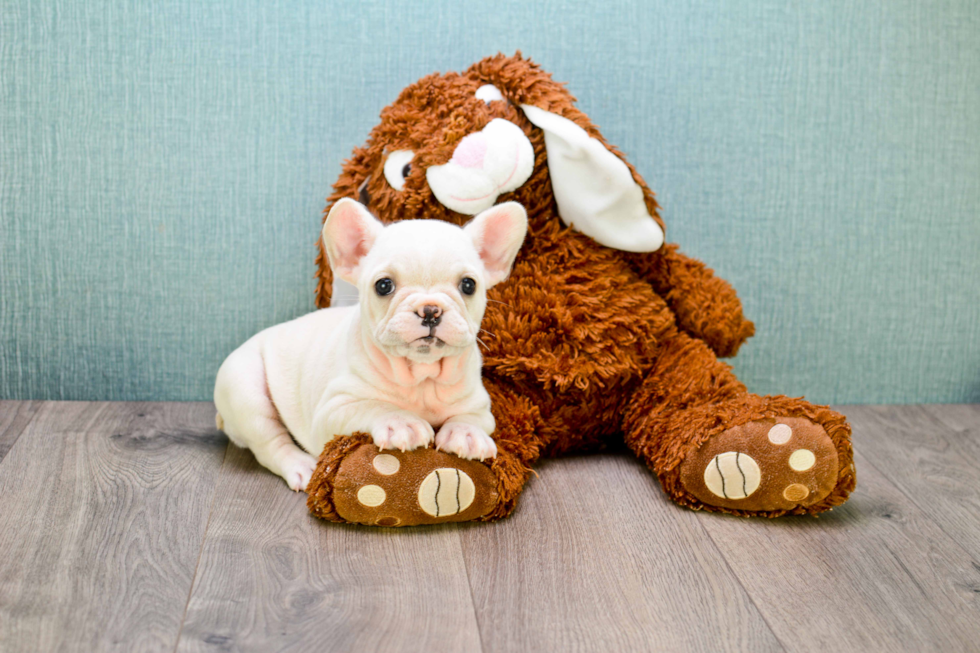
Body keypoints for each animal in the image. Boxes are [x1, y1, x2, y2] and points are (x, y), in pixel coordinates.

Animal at [212, 199, 524, 488]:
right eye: (383, 286)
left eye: (469, 285)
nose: (430, 310)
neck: (421, 376)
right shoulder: (332, 411)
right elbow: (374, 406)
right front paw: (401, 421)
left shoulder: (480, 405)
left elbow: (470, 417)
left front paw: (466, 433)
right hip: (245, 387)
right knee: (269, 442)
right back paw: (301, 467)